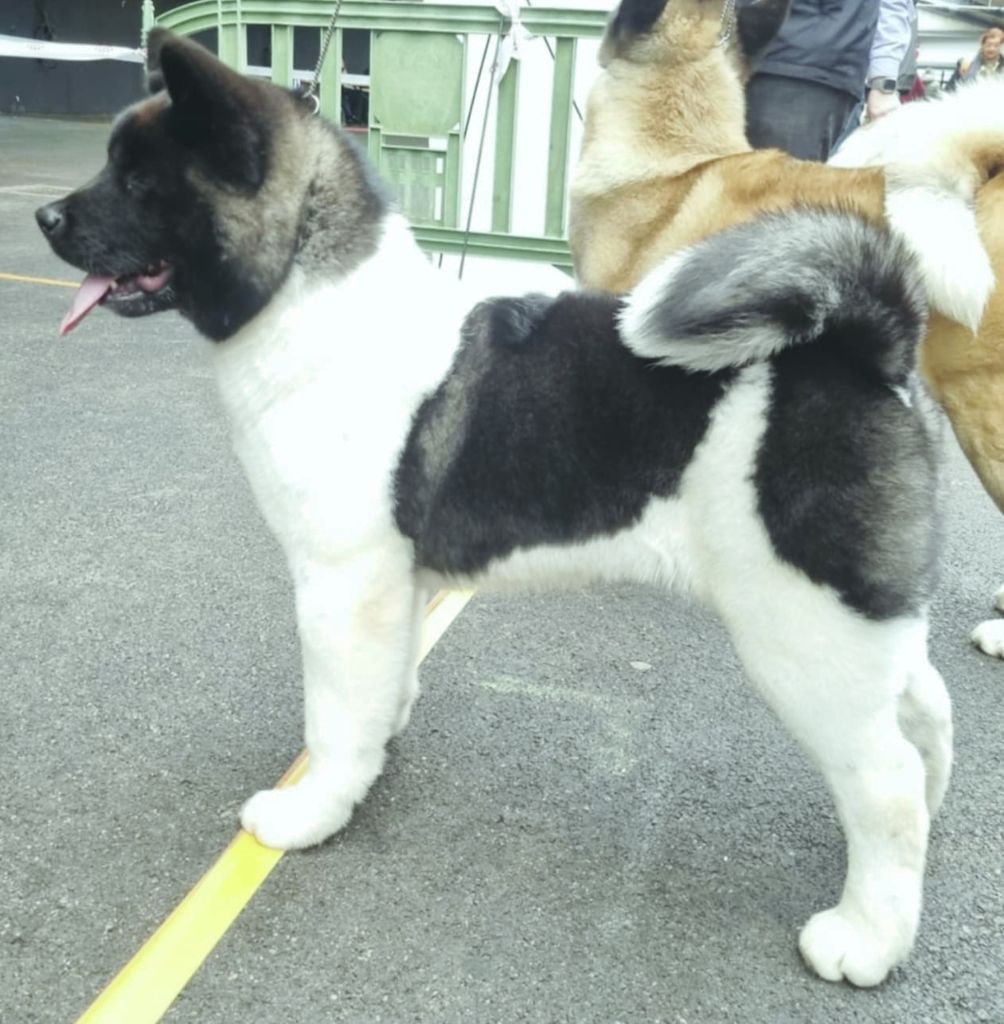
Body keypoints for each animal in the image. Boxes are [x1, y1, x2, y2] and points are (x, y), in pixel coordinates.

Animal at [37, 29, 950, 983]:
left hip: (800, 631)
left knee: (884, 780)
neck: (311, 299)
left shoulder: (339, 584)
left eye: (141, 182)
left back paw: (866, 936)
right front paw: (380, 741)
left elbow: (331, 713)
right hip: (857, 617)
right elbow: (381, 683)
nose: (47, 220)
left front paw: (314, 809)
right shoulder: (389, 583)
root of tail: (869, 347)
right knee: (925, 713)